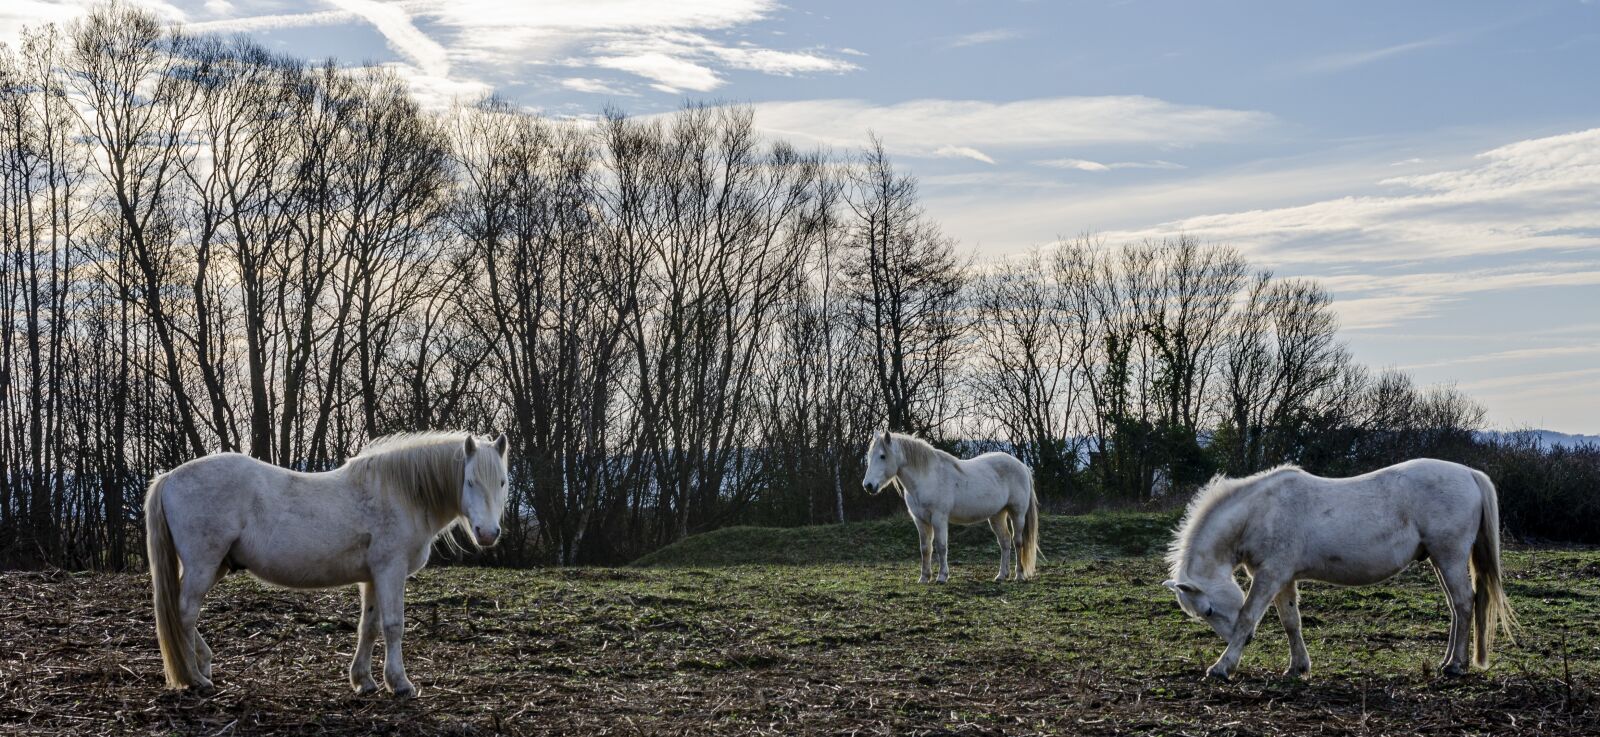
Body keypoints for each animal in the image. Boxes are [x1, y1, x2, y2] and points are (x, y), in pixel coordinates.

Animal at [144, 431, 510, 697]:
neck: (400, 493)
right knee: (185, 614)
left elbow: (369, 626)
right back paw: (196, 679)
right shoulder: (390, 571)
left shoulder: (372, 577)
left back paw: (203, 665)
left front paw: (363, 681)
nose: (488, 533)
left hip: (214, 565)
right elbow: (393, 626)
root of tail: (169, 477)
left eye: (503, 482)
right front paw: (400, 683)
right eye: (470, 481)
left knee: (181, 615)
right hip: (203, 565)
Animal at [861, 431, 1040, 583]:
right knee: (1005, 542)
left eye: (882, 456)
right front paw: (924, 578)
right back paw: (1002, 575)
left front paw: (942, 577)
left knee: (1017, 542)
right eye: (870, 456)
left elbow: (941, 546)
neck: (927, 477)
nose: (868, 486)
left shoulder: (939, 518)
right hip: (997, 515)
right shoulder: (920, 520)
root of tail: (1022, 465)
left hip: (1017, 514)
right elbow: (925, 548)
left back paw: (1019, 575)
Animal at [1162, 459, 1515, 680]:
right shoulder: (1283, 579)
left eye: (1208, 610)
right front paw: (1298, 668)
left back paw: (1455, 666)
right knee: (1457, 607)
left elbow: (1248, 615)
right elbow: (1291, 622)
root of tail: (1469, 473)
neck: (1259, 511)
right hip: (1440, 560)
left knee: (1464, 603)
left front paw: (1222, 668)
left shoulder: (1269, 576)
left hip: (1450, 556)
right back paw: (1449, 661)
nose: (1248, 642)